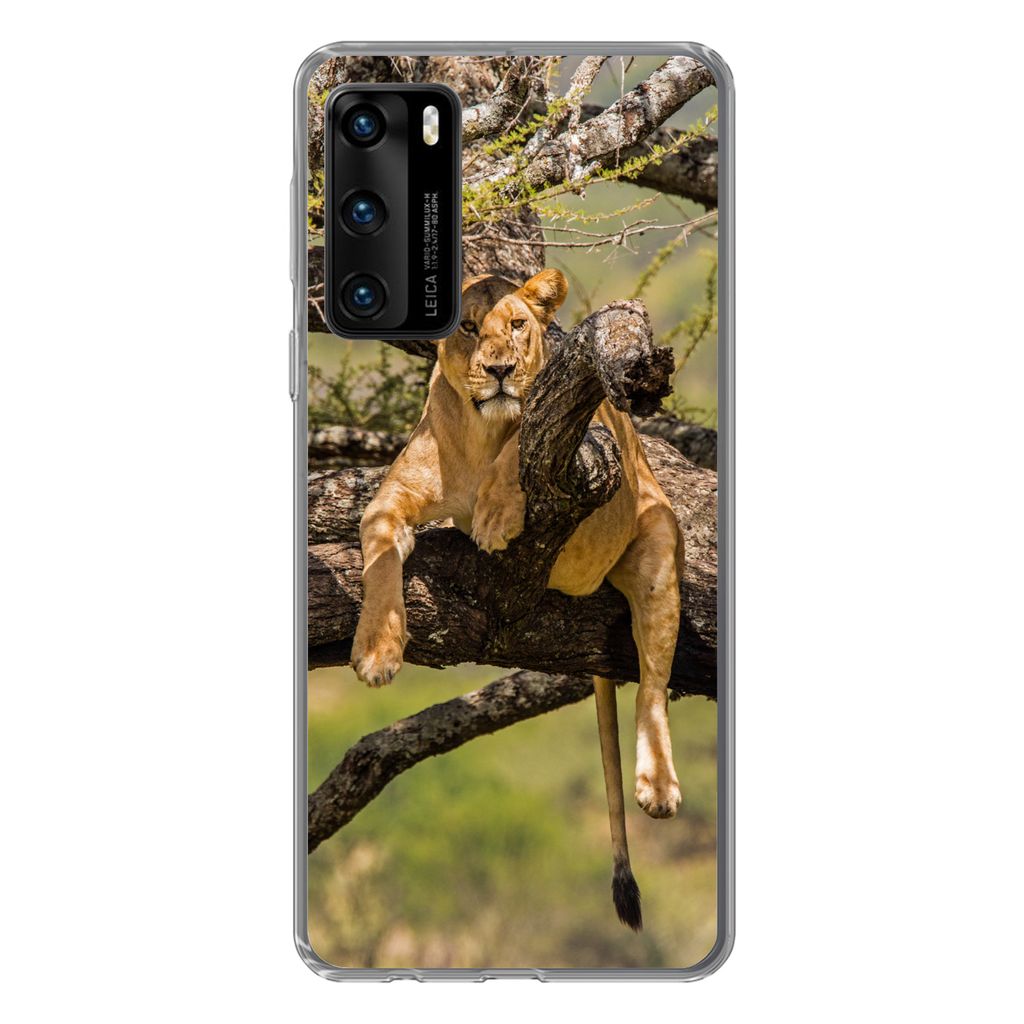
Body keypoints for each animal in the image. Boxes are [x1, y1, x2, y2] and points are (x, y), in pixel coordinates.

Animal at [351, 269, 684, 930]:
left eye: (517, 325)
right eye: (467, 327)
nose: (500, 368)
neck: (481, 433)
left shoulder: (586, 438)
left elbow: (519, 448)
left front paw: (497, 514)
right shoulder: (388, 502)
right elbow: (379, 561)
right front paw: (377, 650)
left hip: (657, 543)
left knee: (654, 685)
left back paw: (658, 785)